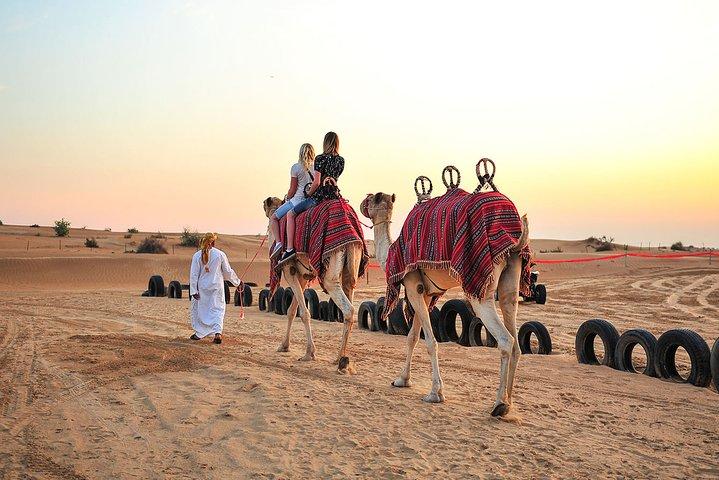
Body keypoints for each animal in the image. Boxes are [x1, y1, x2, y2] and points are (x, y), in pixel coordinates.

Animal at [262, 197, 364, 373]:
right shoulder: (302, 275)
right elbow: (291, 310)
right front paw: (284, 346)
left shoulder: (289, 270)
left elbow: (304, 313)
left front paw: (309, 353)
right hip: (351, 267)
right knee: (350, 294)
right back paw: (341, 358)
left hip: (331, 272)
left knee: (349, 309)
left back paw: (342, 361)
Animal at [363, 189, 529, 417]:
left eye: (371, 198)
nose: (362, 202)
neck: (391, 253)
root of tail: (514, 240)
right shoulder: (423, 294)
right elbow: (412, 337)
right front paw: (402, 380)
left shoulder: (412, 285)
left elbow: (430, 342)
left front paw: (435, 393)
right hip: (511, 277)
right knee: (514, 328)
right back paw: (509, 402)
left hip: (482, 287)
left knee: (505, 340)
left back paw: (498, 404)